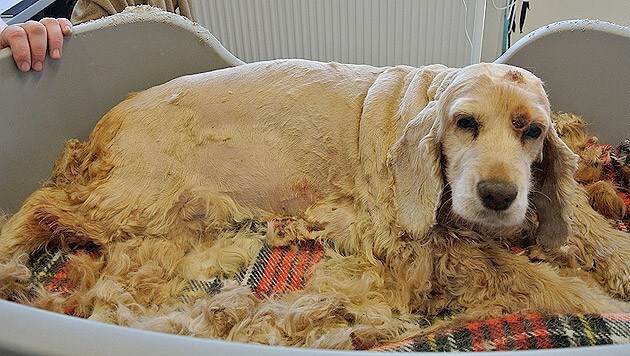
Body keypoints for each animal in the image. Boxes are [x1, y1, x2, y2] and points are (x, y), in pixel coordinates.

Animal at [0, 60, 628, 348]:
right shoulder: (426, 252)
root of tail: (99, 130)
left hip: (178, 218)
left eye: (533, 130)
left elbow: (587, 226)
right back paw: (12, 250)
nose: (498, 195)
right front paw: (604, 306)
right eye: (464, 122)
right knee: (47, 204)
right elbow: (536, 281)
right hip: (139, 198)